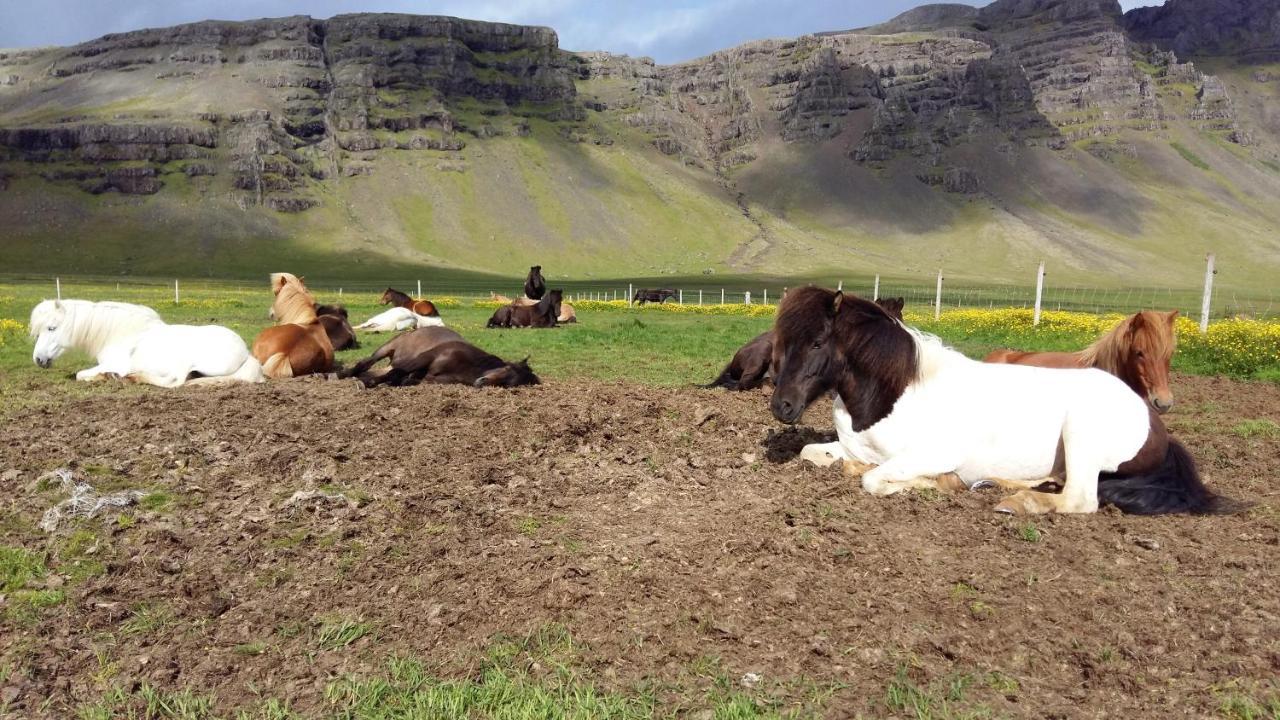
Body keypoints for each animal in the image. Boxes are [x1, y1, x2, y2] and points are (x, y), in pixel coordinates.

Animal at [29, 297, 262, 386]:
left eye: (51, 328)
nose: (38, 359)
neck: (121, 334)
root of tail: (245, 353)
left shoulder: (115, 363)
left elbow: (81, 375)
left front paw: (108, 376)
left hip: (184, 362)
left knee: (175, 381)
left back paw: (133, 377)